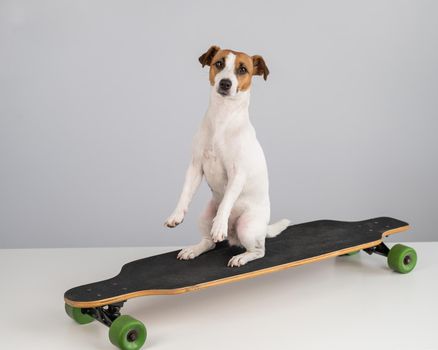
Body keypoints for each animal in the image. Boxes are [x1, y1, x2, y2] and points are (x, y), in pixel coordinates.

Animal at [164, 45, 290, 266]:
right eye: (219, 63)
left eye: (243, 69)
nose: (225, 83)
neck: (222, 120)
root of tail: (234, 236)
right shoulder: (195, 167)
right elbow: (185, 193)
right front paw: (176, 215)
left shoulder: (237, 174)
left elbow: (227, 201)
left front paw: (219, 225)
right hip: (205, 216)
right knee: (209, 243)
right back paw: (194, 249)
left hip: (247, 227)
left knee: (259, 250)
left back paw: (241, 255)